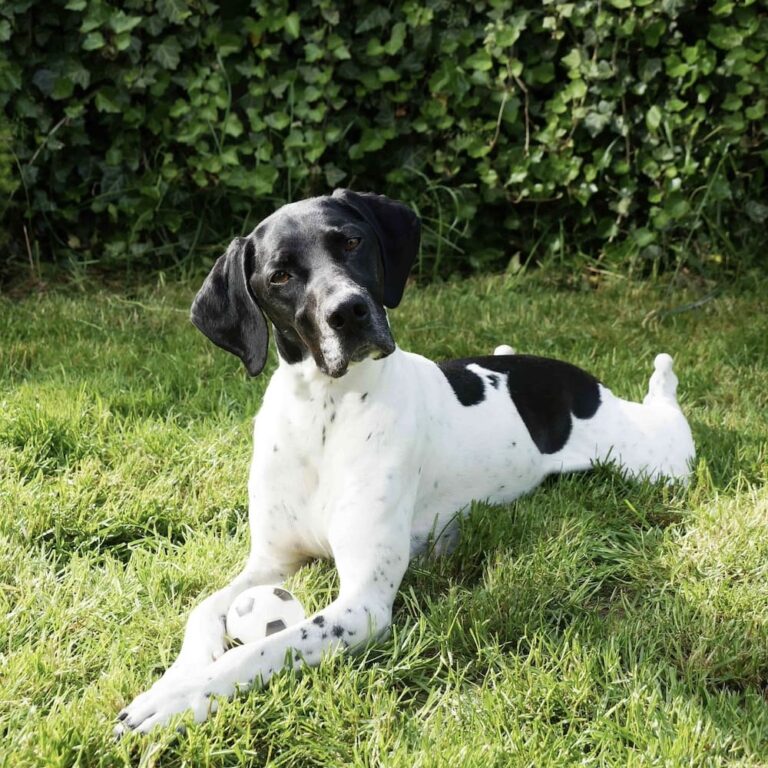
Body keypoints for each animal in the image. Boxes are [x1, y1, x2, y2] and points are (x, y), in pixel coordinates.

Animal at [114, 189, 696, 736]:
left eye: (351, 241)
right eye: (280, 275)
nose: (348, 312)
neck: (325, 414)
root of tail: (582, 381)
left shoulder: (362, 605)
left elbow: (263, 647)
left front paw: (181, 698)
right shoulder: (270, 562)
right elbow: (202, 611)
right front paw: (171, 680)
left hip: (657, 461)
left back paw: (663, 379)